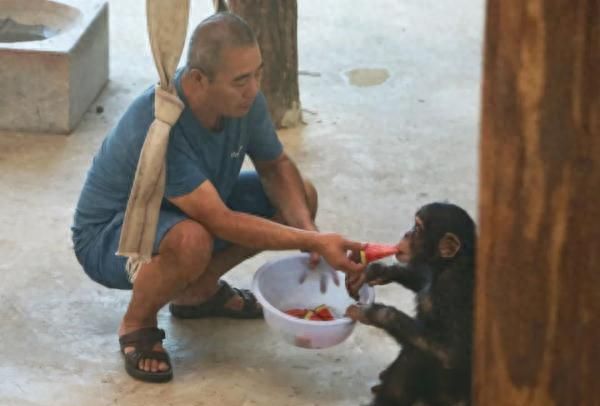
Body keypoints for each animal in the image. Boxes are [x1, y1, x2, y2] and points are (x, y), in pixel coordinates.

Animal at [344, 203, 476, 406]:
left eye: (418, 228)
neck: (447, 264)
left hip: (448, 398)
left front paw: (375, 313)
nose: (407, 233)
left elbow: (451, 353)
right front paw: (377, 271)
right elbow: (420, 279)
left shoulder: (453, 290)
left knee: (416, 356)